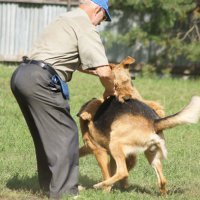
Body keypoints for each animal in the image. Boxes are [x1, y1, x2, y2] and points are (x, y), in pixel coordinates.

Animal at [77, 57, 200, 195]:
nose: (126, 97)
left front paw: (106, 189)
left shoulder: (98, 150)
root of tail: (154, 122)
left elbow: (107, 171)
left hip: (115, 143)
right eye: (117, 84)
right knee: (162, 180)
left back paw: (100, 185)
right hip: (152, 155)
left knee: (123, 172)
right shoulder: (93, 148)